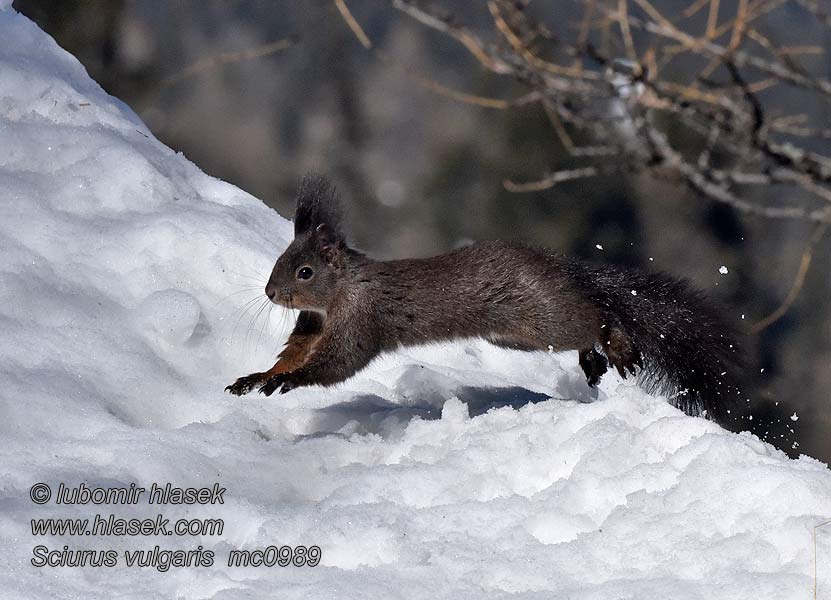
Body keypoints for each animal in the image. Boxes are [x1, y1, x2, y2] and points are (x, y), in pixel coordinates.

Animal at [228, 173, 748, 424]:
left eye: (305, 271)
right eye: (281, 259)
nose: (271, 292)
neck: (341, 292)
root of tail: (559, 267)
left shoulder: (361, 320)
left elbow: (337, 363)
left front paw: (290, 382)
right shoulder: (311, 324)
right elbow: (292, 352)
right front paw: (258, 378)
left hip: (542, 318)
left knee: (598, 315)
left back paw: (615, 346)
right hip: (515, 336)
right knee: (586, 324)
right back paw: (593, 360)